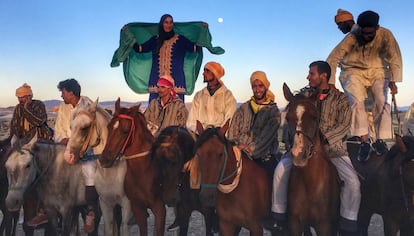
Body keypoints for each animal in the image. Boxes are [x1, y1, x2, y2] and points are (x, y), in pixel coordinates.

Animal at [64, 98, 131, 235]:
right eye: (71, 127)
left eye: (85, 127)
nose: (68, 157)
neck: (111, 171)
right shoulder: (106, 203)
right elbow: (109, 228)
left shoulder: (126, 204)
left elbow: (124, 227)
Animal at [99, 98, 166, 235]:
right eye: (109, 127)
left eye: (125, 131)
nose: (104, 160)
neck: (143, 171)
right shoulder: (138, 207)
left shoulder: (160, 209)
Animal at [284, 84, 342, 235]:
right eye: (287, 118)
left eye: (314, 117)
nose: (298, 154)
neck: (309, 183)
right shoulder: (295, 224)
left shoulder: (325, 226)